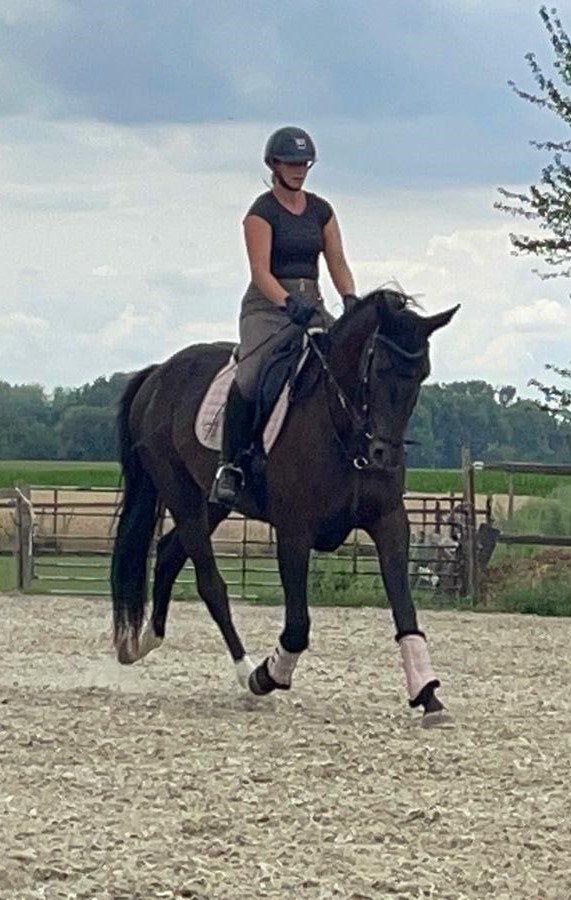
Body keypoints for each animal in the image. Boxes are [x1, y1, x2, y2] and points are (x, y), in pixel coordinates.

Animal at [111, 288, 459, 725]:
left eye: (421, 374)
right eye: (377, 368)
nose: (384, 456)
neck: (344, 429)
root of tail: (159, 374)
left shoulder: (389, 522)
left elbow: (405, 612)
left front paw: (429, 696)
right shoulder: (294, 531)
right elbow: (297, 625)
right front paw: (267, 675)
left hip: (212, 503)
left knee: (172, 552)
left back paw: (147, 640)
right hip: (181, 493)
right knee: (210, 584)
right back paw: (245, 675)